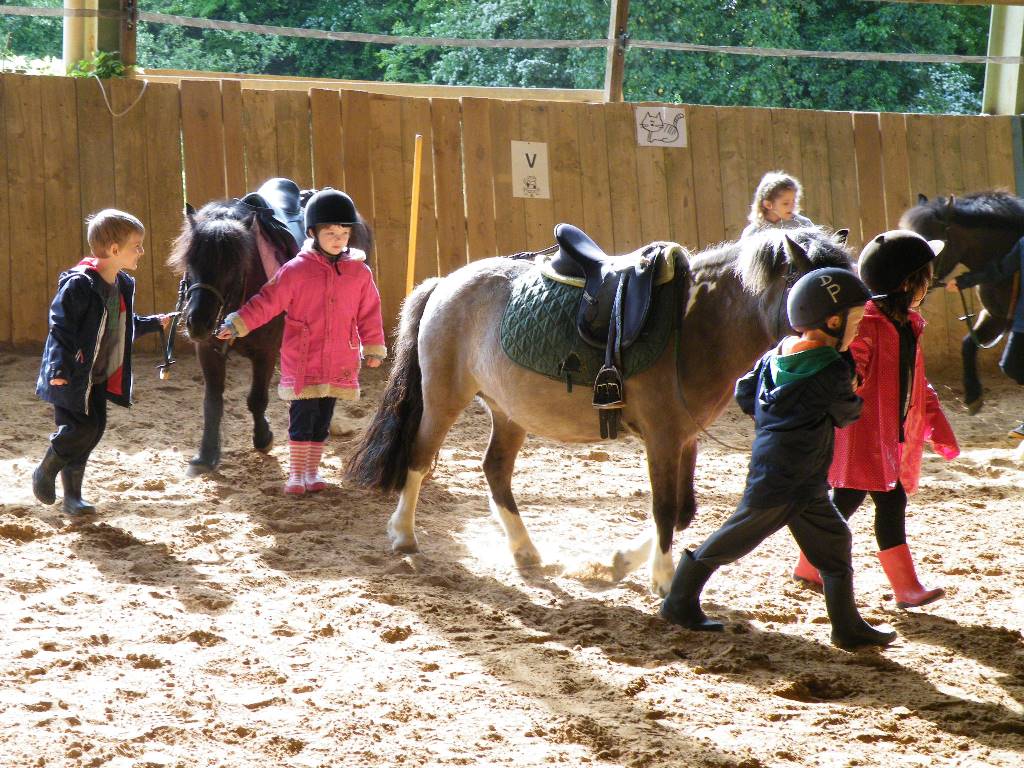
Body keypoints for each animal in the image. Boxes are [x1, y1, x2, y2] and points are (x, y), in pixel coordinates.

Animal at [344, 227, 853, 596]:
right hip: (444, 397)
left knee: (495, 470)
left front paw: (620, 563)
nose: (846, 368)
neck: (694, 324)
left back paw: (524, 551)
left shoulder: (685, 439)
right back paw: (403, 535)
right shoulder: (663, 438)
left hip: (509, 412)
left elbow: (683, 511)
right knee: (419, 458)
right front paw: (662, 578)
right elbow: (665, 508)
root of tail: (445, 283)